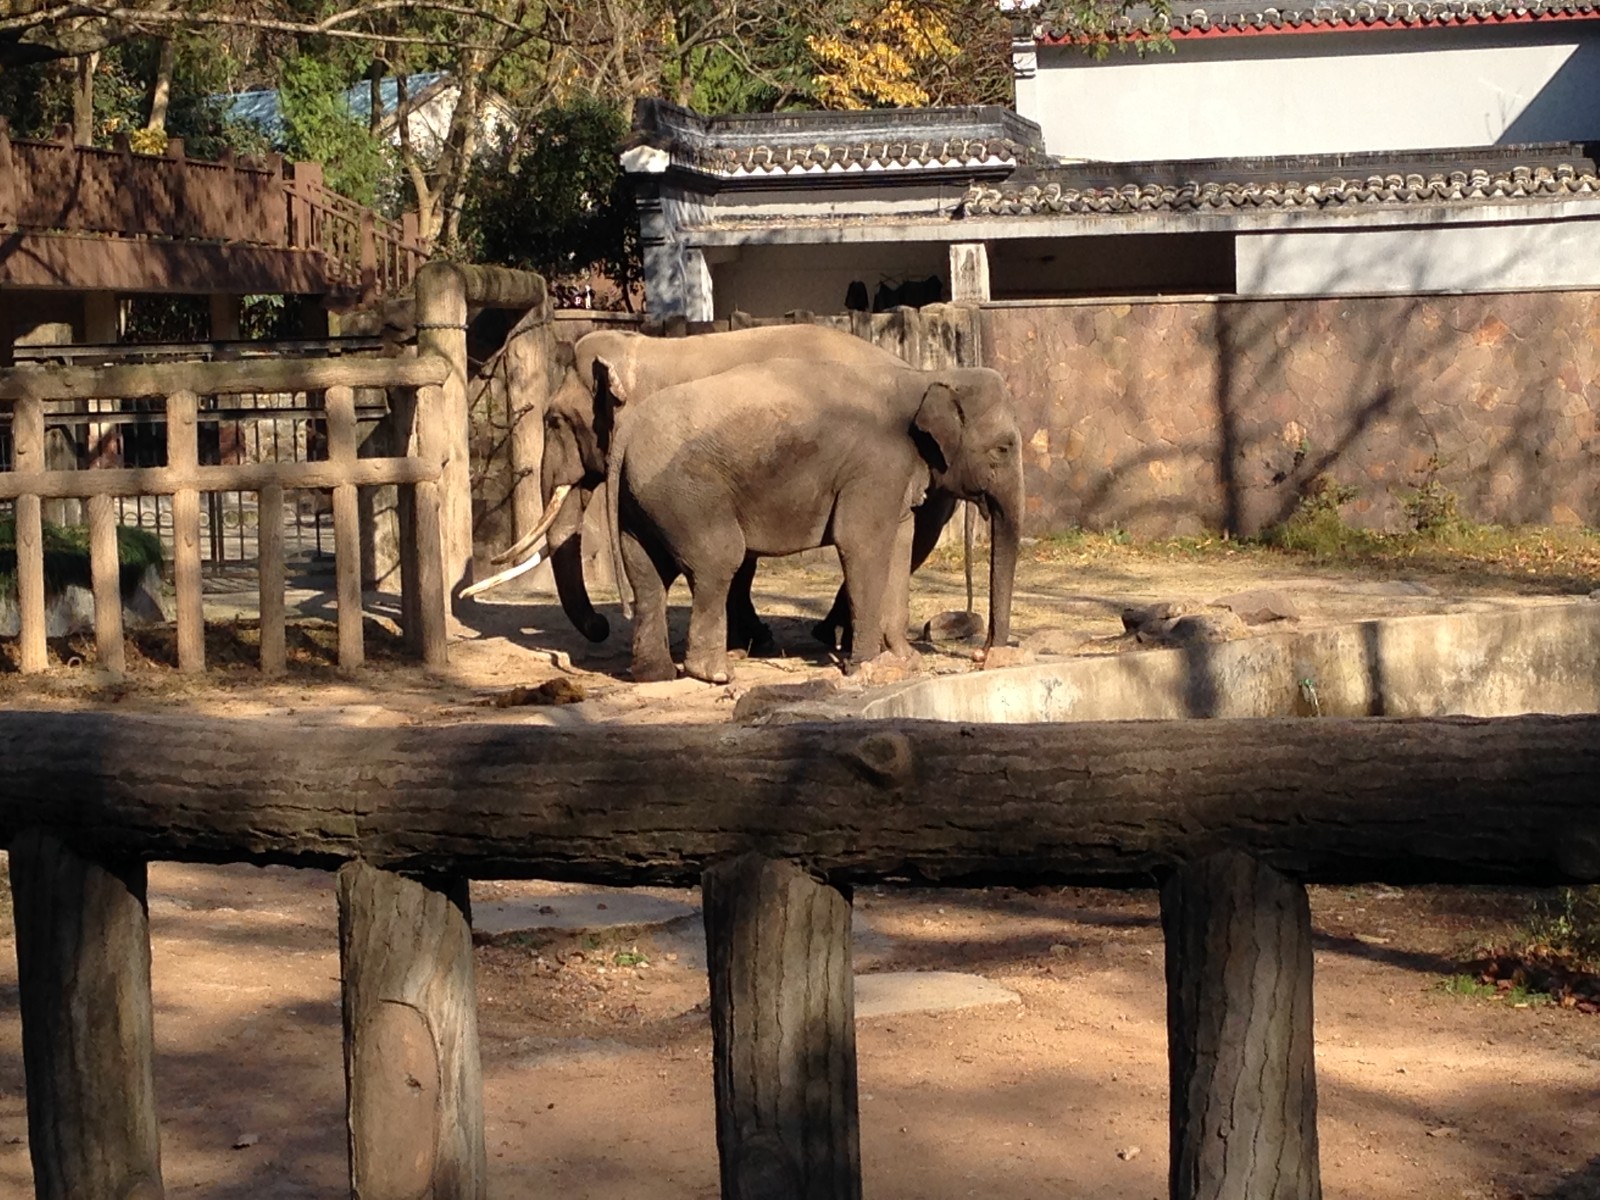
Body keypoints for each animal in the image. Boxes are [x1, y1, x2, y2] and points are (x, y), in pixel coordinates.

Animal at [521, 323, 1001, 656]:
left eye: (555, 421)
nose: (600, 626)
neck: (642, 350)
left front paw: (747, 641)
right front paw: (749, 640)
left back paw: (833, 635)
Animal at [604, 359, 1022, 683]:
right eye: (1003, 449)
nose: (983, 656)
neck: (926, 376)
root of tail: (626, 431)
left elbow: (901, 544)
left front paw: (905, 661)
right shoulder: (874, 467)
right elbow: (861, 543)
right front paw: (865, 665)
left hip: (642, 500)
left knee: (648, 576)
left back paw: (655, 674)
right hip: (689, 495)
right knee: (718, 561)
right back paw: (716, 674)